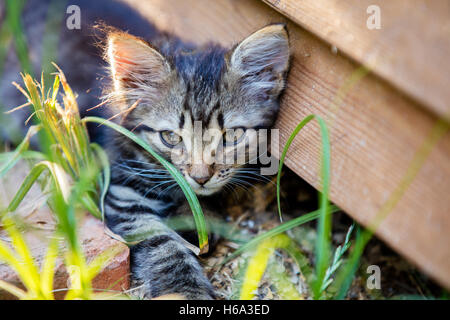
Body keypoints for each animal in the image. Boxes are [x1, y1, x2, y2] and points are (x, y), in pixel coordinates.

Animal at [102, 25, 290, 300]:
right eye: (171, 137)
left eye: (232, 136)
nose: (200, 177)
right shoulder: (123, 192)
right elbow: (164, 246)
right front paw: (186, 291)